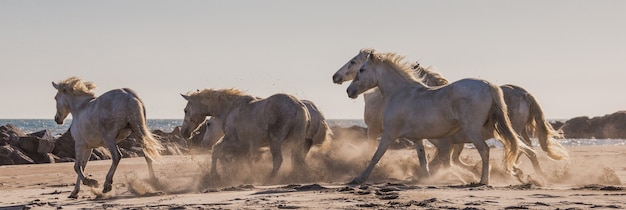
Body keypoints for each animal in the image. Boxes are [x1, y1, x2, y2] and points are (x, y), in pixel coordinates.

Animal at [179, 88, 308, 179]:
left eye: (185, 110)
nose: (184, 133)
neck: (229, 109)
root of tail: (298, 106)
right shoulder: (244, 145)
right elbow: (244, 159)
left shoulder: (234, 141)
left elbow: (217, 151)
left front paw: (214, 175)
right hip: (296, 141)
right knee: (298, 159)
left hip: (275, 141)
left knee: (278, 160)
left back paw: (269, 178)